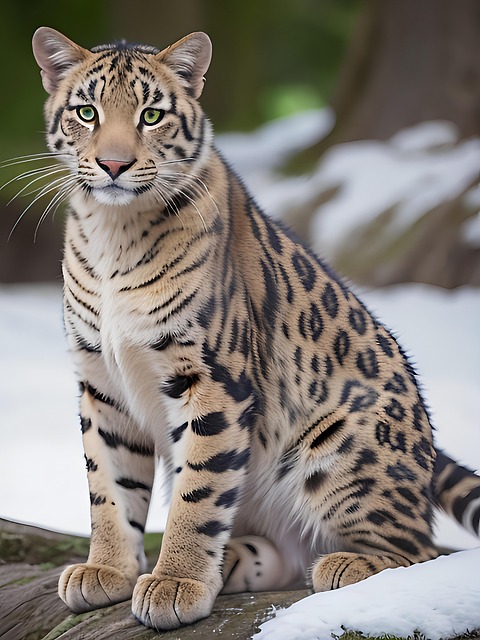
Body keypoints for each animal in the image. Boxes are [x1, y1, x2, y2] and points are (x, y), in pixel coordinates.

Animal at [29, 27, 480, 630]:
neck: (111, 231)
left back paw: (346, 565)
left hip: (343, 435)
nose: (114, 165)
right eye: (86, 112)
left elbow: (199, 490)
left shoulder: (212, 377)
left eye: (151, 115)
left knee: (421, 551)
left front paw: (175, 582)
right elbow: (109, 487)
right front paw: (108, 570)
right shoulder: (100, 382)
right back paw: (235, 562)